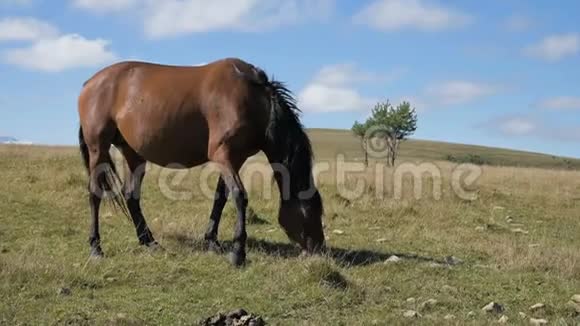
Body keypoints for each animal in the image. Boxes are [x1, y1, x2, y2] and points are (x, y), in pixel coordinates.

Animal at [76, 57, 326, 266]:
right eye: (309, 213)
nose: (319, 249)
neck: (252, 99)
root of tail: (89, 83)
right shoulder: (223, 155)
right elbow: (239, 196)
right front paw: (238, 252)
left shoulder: (235, 158)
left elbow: (221, 198)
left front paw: (212, 241)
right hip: (98, 148)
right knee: (94, 194)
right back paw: (96, 248)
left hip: (133, 154)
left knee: (131, 195)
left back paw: (149, 242)